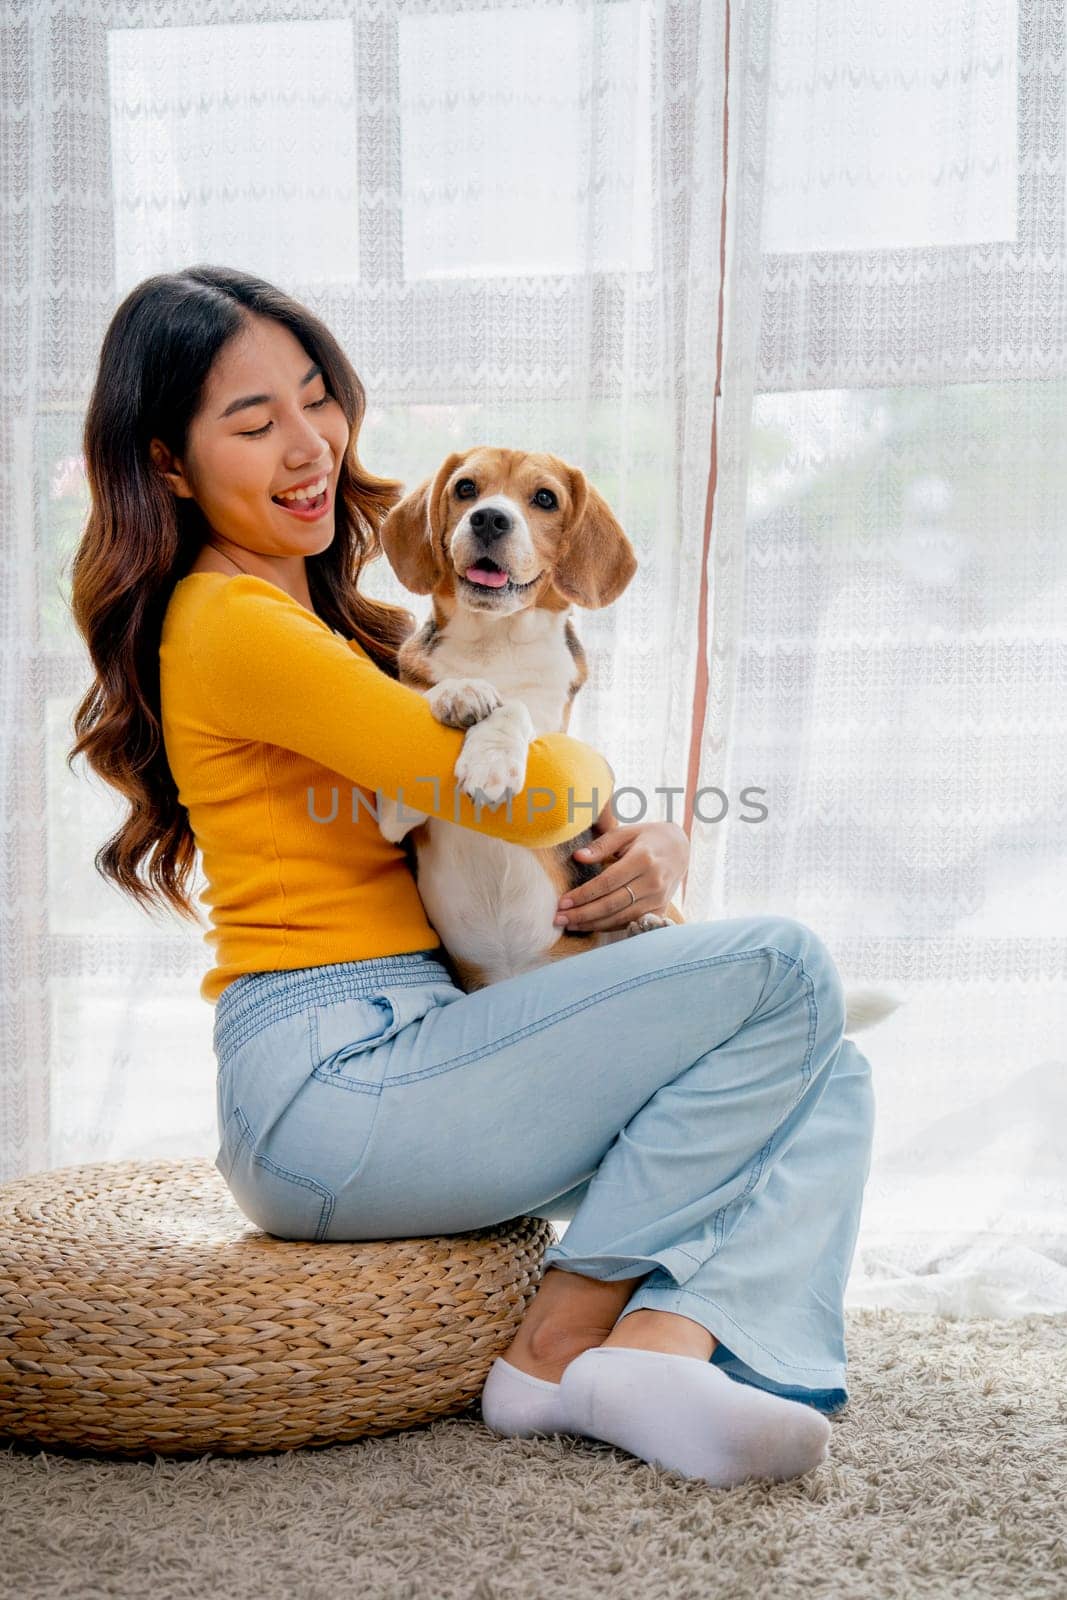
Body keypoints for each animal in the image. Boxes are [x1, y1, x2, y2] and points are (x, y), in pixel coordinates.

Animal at [375, 444, 902, 1030]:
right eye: (466, 488)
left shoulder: (556, 737)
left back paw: (645, 926)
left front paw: (490, 759)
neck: (494, 643)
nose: (489, 518)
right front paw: (460, 692)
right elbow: (429, 697)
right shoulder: (393, 817)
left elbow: (518, 707)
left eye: (544, 499)